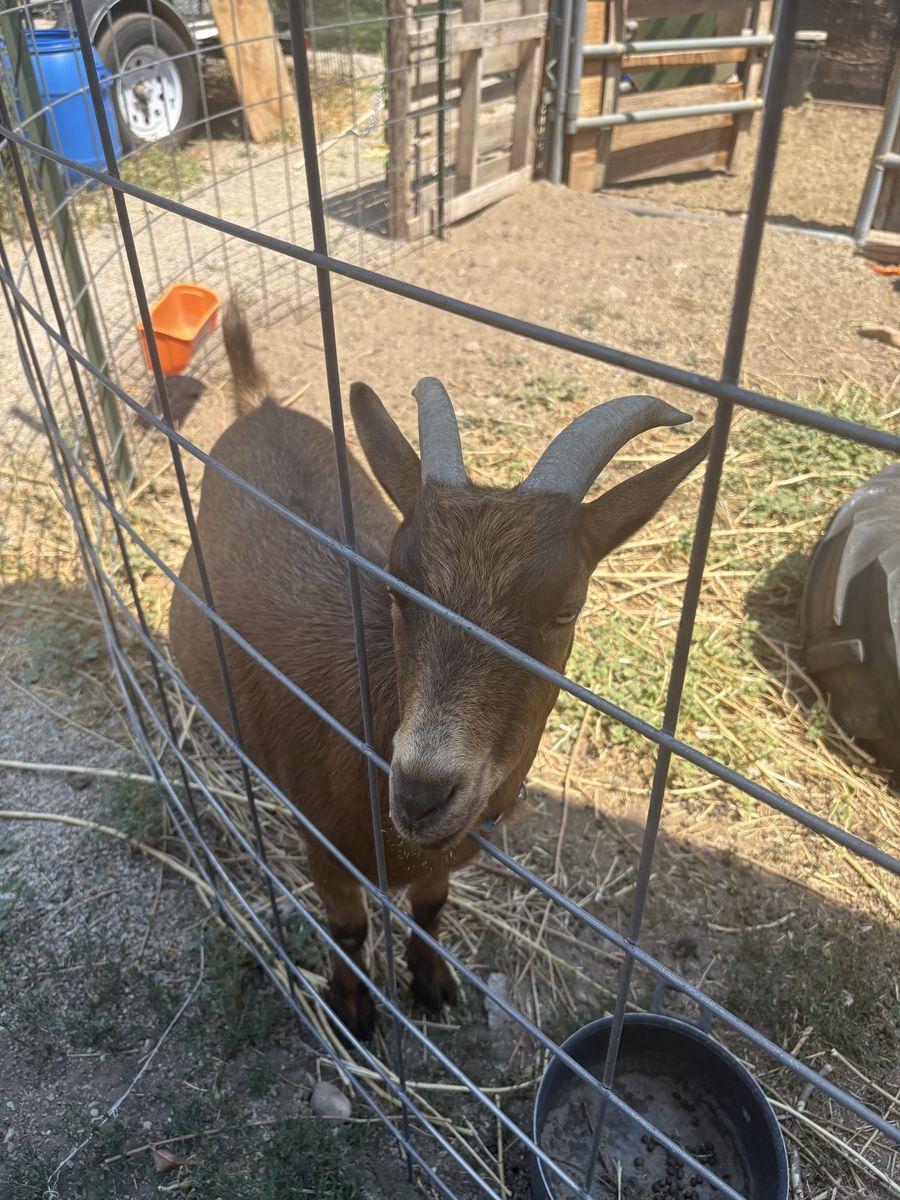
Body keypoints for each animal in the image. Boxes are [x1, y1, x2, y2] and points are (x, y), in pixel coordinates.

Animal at [169, 303, 710, 1038]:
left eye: (567, 605)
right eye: (397, 584)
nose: (422, 794)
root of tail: (260, 403)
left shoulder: (443, 860)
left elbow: (430, 909)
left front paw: (431, 984)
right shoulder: (323, 843)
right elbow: (347, 927)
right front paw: (356, 1013)